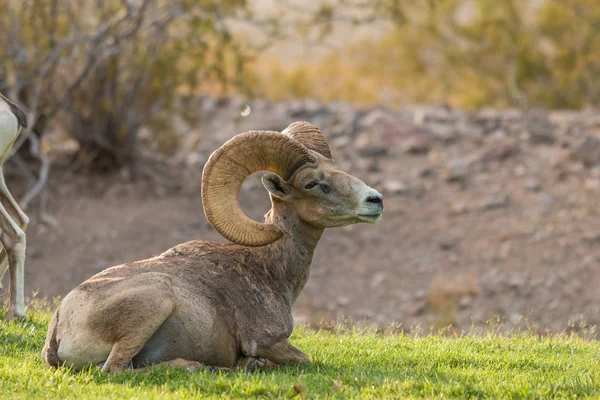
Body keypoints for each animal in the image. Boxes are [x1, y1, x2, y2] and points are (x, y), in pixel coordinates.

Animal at [41, 122, 384, 372]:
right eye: (312, 183)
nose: (375, 200)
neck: (269, 269)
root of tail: (59, 327)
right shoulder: (266, 341)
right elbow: (301, 359)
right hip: (156, 301)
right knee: (116, 368)